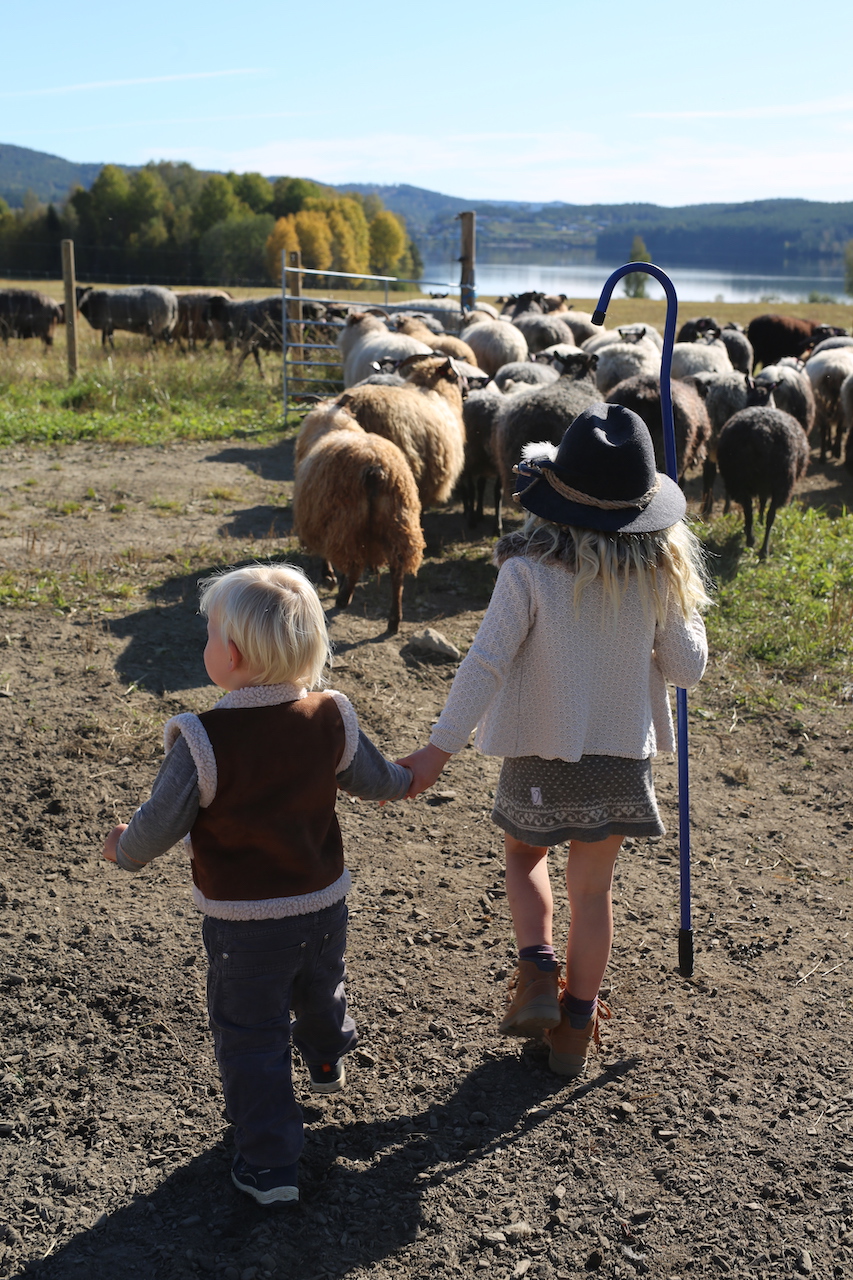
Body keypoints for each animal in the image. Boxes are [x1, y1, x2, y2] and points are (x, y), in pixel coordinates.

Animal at [712, 404, 809, 555]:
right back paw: (762, 548)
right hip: (779, 482)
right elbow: (763, 505)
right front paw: (759, 522)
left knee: (749, 510)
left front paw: (757, 522)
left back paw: (753, 540)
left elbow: (761, 503)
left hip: (741, 480)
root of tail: (762, 433)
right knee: (767, 514)